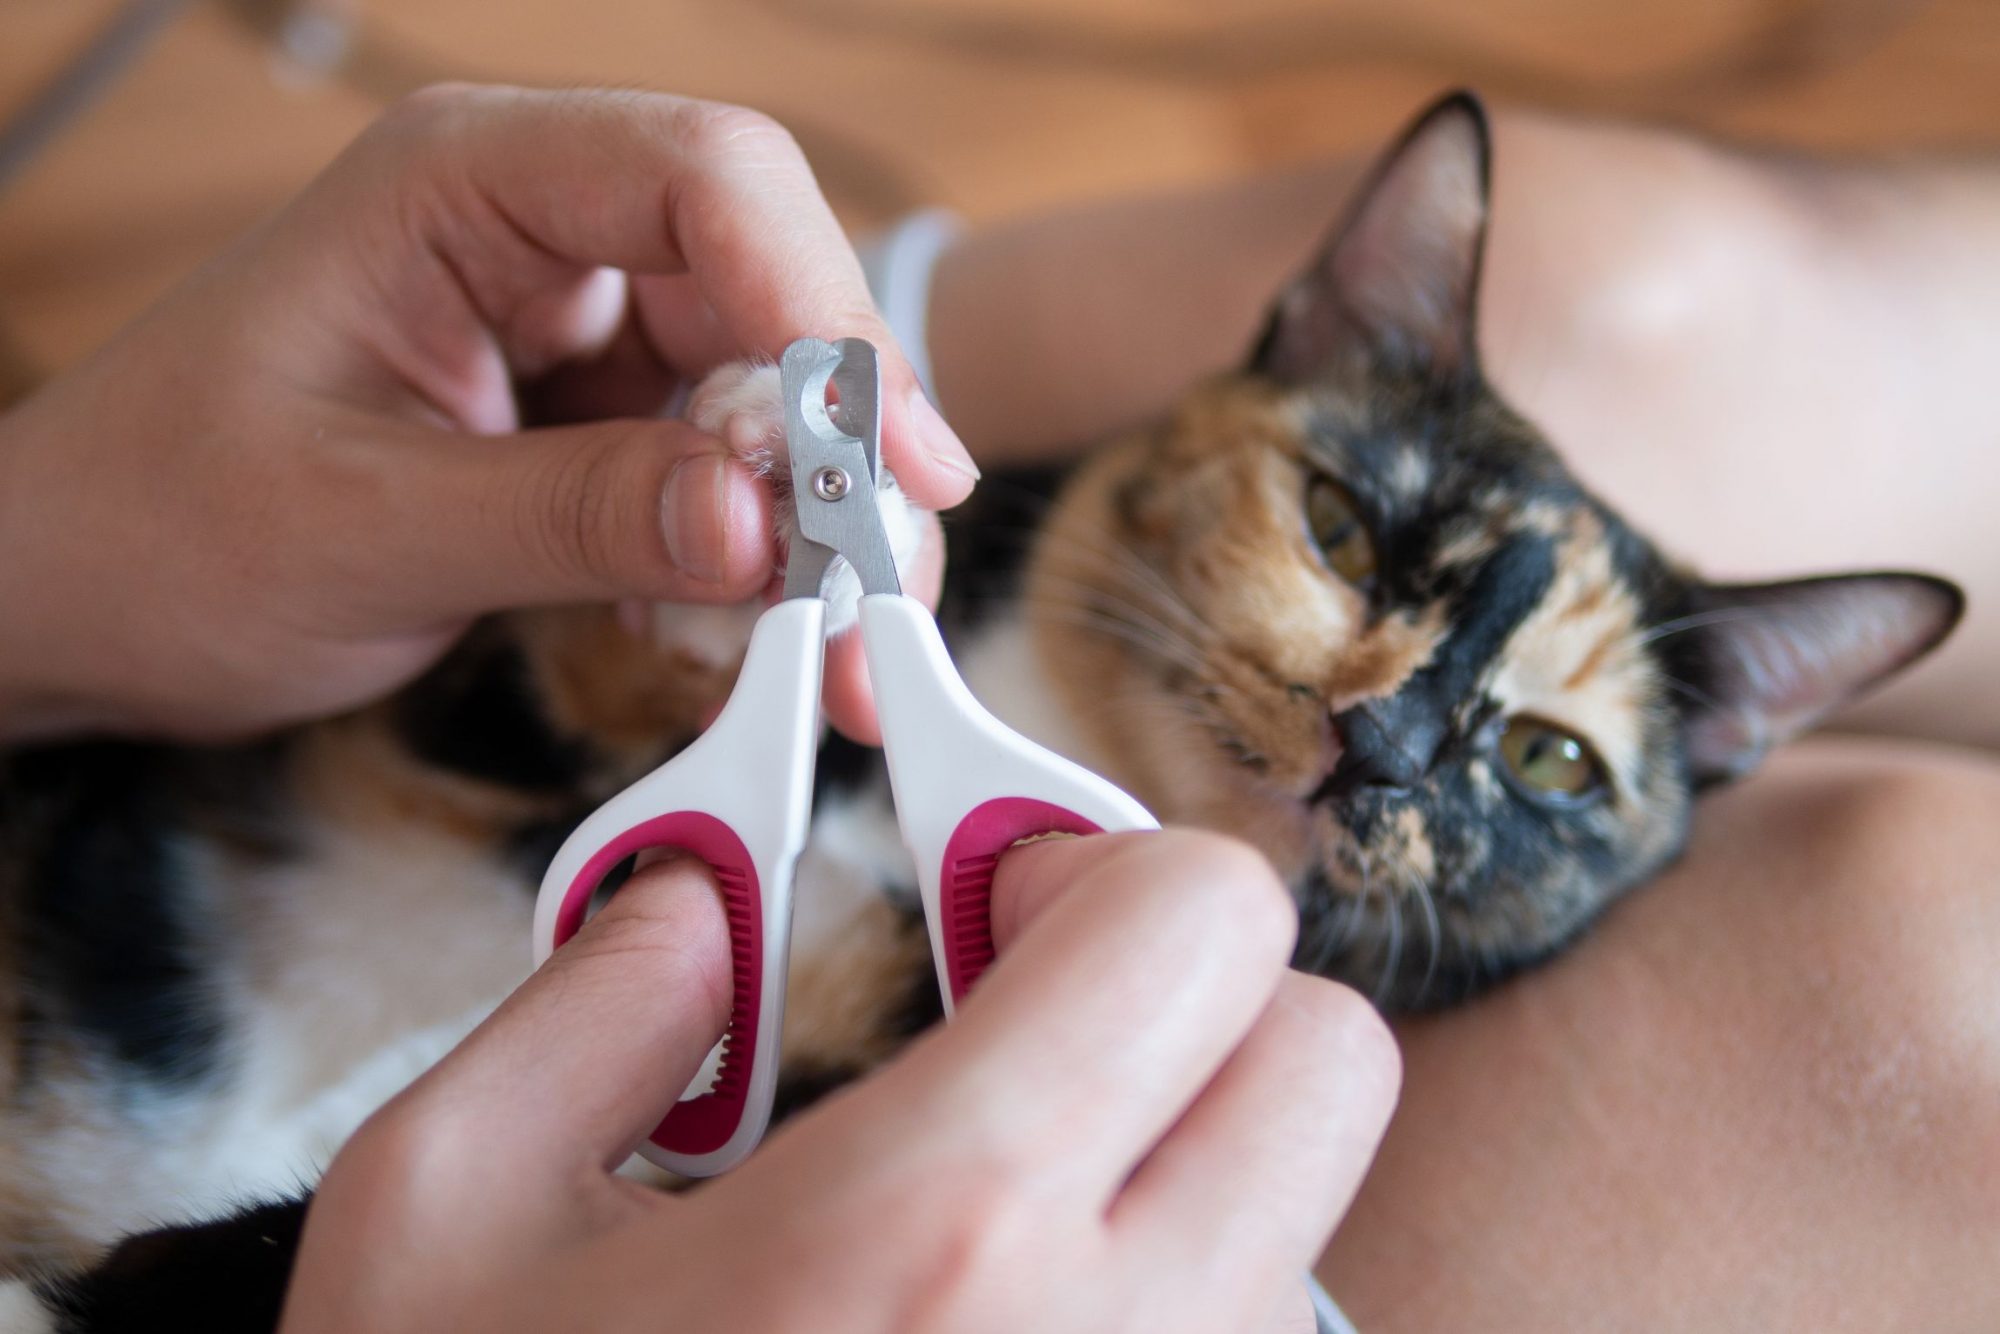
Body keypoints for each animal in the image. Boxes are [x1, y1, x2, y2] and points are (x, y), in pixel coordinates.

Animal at [0, 91, 1960, 1328]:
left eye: (1550, 760)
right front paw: (732, 448)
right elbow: (573, 663)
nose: (1387, 744)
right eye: (1343, 522)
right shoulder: (443, 707)